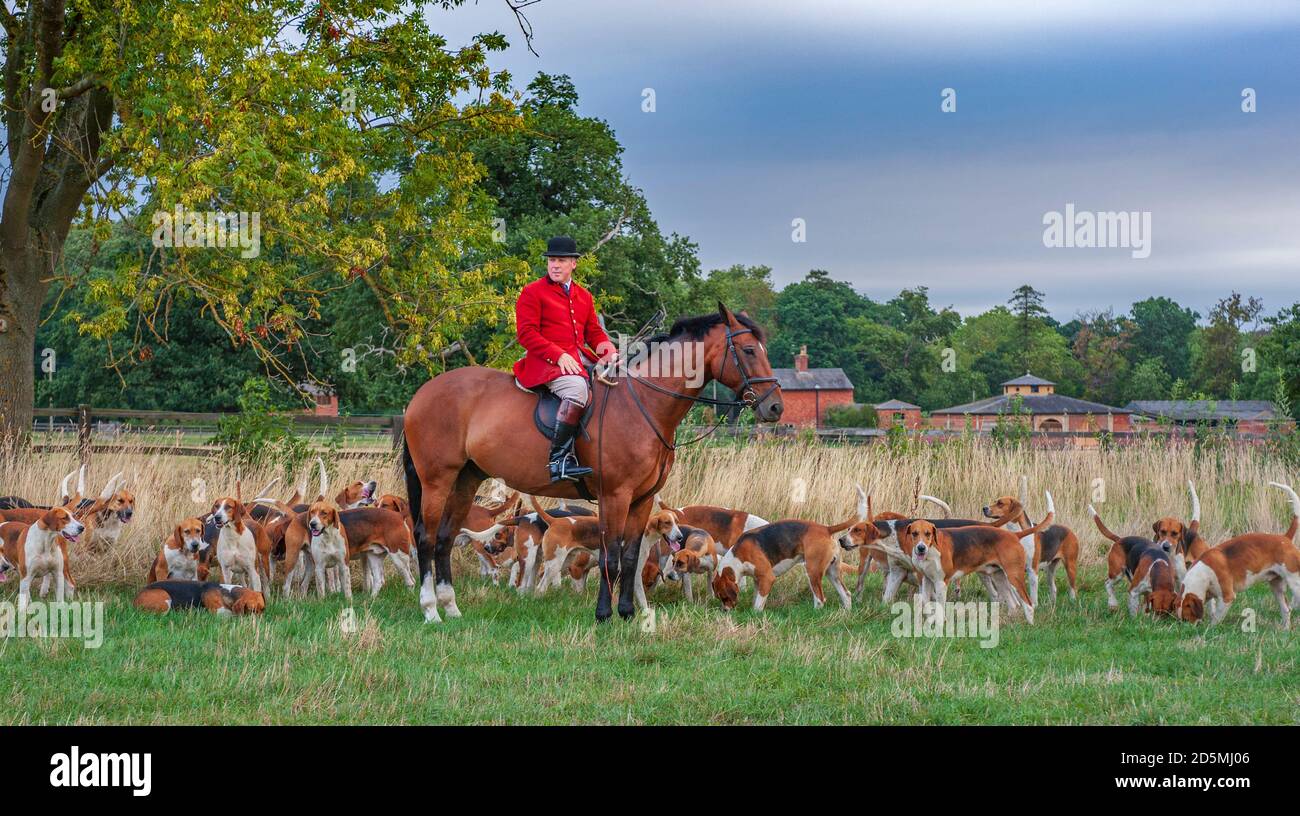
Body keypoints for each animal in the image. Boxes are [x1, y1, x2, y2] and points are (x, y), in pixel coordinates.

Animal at [400, 302, 780, 621]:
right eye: (748, 350)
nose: (775, 406)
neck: (644, 404)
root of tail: (422, 393)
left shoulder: (642, 500)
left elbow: (630, 555)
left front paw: (627, 612)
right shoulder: (615, 496)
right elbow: (610, 554)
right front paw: (603, 614)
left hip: (466, 478)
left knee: (446, 537)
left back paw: (451, 608)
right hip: (437, 479)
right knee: (427, 537)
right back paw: (430, 609)